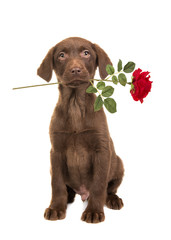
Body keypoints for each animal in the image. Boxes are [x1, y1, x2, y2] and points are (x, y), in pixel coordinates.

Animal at [37, 37, 124, 223]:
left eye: (86, 53)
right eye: (61, 55)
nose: (75, 70)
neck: (75, 104)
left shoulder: (101, 150)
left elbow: (99, 185)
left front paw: (94, 212)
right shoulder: (56, 151)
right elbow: (57, 184)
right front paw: (56, 207)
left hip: (119, 163)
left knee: (110, 189)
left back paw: (113, 200)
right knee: (66, 187)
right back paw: (69, 197)